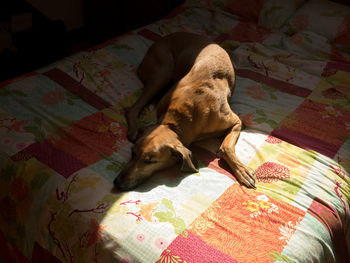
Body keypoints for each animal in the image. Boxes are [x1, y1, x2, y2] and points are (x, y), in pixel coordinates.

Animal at [114, 33, 254, 192]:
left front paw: (241, 170)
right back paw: (133, 129)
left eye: (150, 161)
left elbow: (226, 147)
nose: (117, 182)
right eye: (133, 152)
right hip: (162, 73)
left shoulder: (237, 122)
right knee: (133, 108)